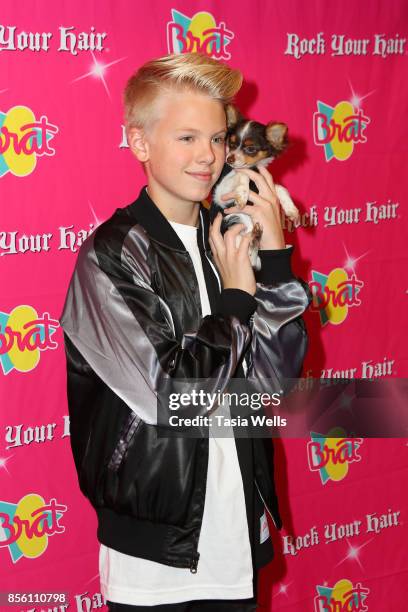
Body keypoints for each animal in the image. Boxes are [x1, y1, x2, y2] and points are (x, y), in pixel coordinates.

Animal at [212, 105, 298, 270]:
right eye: (231, 144)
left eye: (251, 149)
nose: (229, 159)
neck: (254, 168)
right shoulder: (220, 195)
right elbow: (243, 173)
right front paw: (242, 194)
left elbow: (280, 188)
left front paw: (292, 210)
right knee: (251, 261)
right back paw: (255, 238)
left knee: (253, 261)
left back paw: (256, 237)